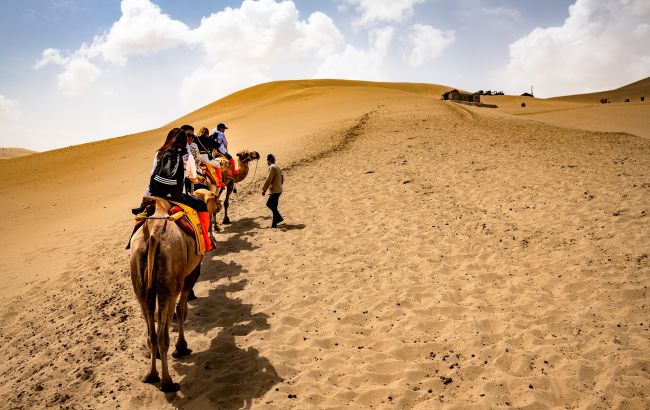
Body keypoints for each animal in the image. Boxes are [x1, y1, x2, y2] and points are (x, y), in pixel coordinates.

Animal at [129, 197, 202, 392]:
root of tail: (154, 236)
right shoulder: (190, 274)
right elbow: (182, 309)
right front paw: (182, 347)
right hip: (169, 280)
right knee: (163, 334)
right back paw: (168, 383)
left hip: (139, 278)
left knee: (151, 334)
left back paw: (151, 375)